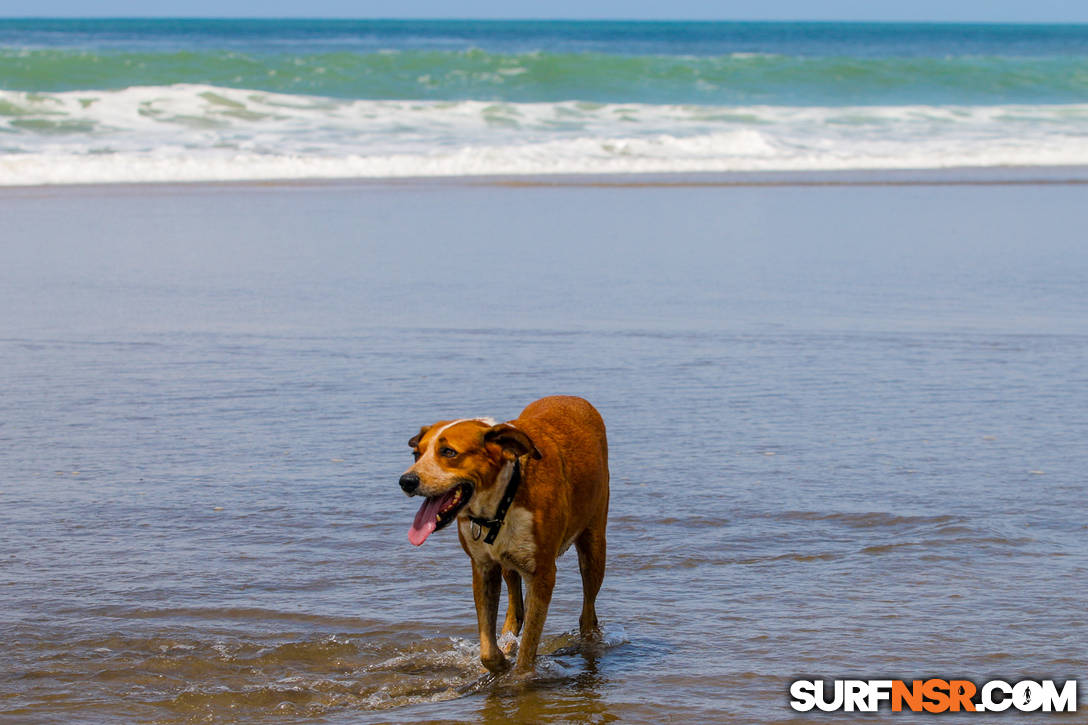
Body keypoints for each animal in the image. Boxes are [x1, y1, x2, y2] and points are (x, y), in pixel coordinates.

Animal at [398, 396, 609, 670]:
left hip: (593, 547)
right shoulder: (483, 567)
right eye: (417, 454)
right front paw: (500, 662)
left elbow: (528, 649)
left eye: (448, 452)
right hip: (510, 565)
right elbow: (488, 646)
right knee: (515, 609)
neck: (502, 499)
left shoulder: (542, 574)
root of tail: (573, 398)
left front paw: (519, 674)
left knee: (587, 612)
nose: (406, 481)